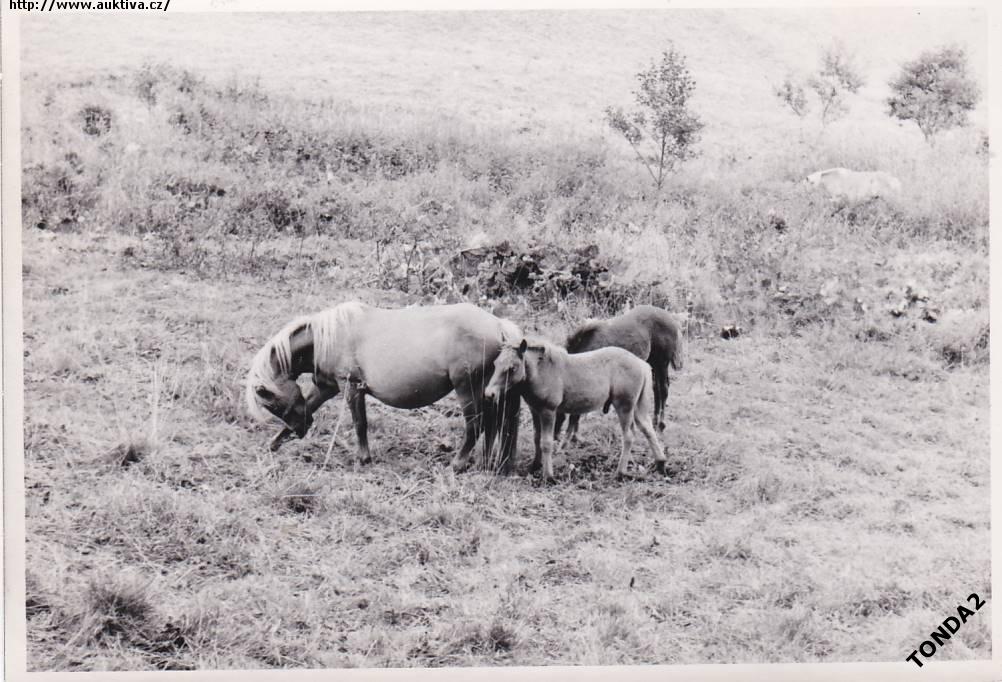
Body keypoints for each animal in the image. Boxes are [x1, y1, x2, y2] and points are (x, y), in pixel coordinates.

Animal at [245, 302, 521, 472]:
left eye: (272, 403)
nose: (301, 430)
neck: (329, 337)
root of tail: (498, 325)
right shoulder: (326, 387)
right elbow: (312, 405)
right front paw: (274, 443)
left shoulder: (351, 387)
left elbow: (360, 423)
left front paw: (363, 458)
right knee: (492, 424)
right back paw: (485, 463)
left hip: (467, 389)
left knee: (476, 425)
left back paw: (458, 463)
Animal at [484, 336, 665, 478]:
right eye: (495, 363)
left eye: (512, 368)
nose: (489, 393)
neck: (542, 371)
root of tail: (641, 363)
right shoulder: (535, 410)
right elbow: (537, 438)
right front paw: (535, 466)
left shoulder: (548, 411)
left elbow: (546, 442)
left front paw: (548, 476)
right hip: (637, 406)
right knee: (648, 429)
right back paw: (661, 463)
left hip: (624, 406)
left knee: (628, 436)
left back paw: (620, 473)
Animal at [557, 306, 681, 444]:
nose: (554, 437)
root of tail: (671, 319)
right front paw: (574, 436)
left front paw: (574, 436)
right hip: (653, 362)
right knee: (657, 389)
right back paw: (655, 422)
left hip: (662, 363)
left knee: (663, 389)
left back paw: (660, 425)